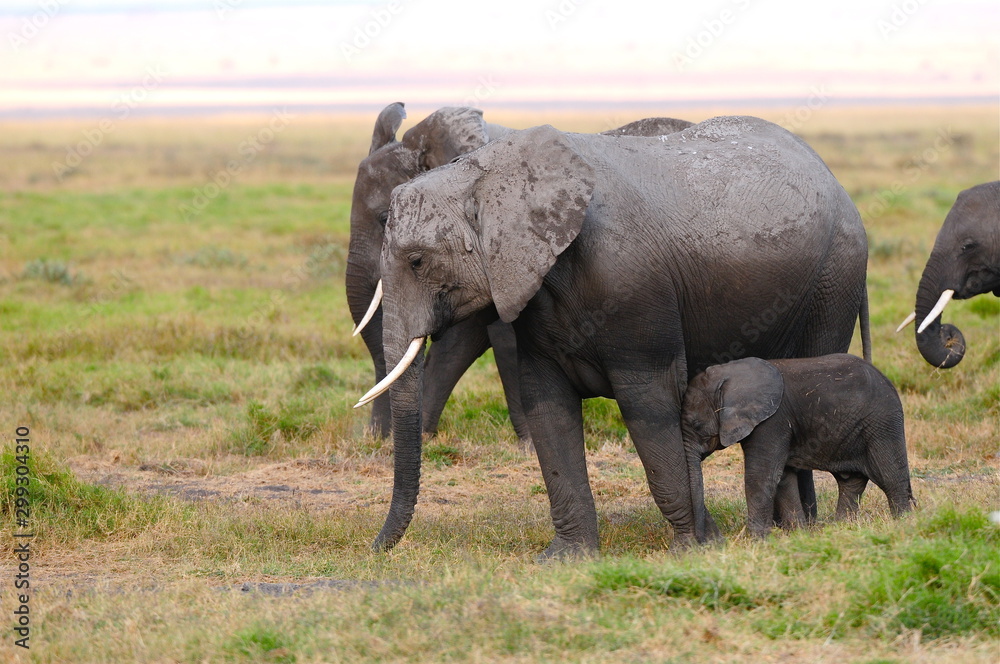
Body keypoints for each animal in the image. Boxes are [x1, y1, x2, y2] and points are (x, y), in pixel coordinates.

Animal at [347, 102, 695, 443]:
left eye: (383, 219)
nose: (374, 439)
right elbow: (459, 344)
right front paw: (424, 435)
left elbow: (503, 339)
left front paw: (527, 443)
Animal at [682, 355, 915, 538]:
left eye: (696, 425)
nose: (704, 541)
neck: (727, 374)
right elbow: (784, 478)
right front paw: (799, 534)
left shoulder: (772, 422)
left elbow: (762, 476)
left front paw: (757, 540)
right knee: (851, 481)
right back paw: (842, 528)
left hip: (882, 424)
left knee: (890, 477)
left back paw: (903, 523)